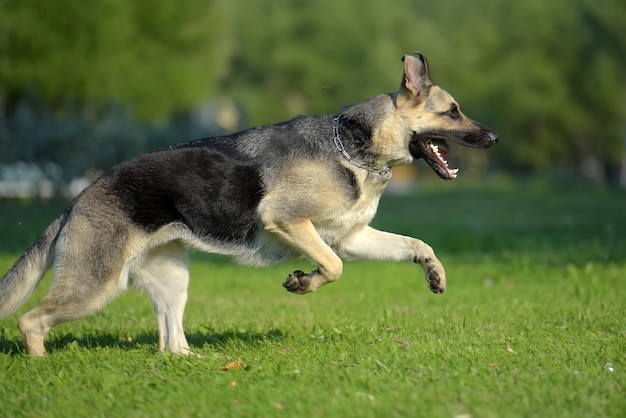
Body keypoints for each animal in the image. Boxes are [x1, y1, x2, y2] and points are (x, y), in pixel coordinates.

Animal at [0, 50, 498, 354]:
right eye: (452, 112)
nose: (493, 138)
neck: (353, 146)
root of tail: (76, 200)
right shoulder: (291, 223)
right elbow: (334, 266)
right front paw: (304, 282)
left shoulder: (353, 236)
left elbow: (416, 244)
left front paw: (434, 273)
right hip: (95, 288)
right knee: (30, 321)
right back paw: (40, 366)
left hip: (172, 282)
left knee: (170, 341)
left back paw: (191, 362)